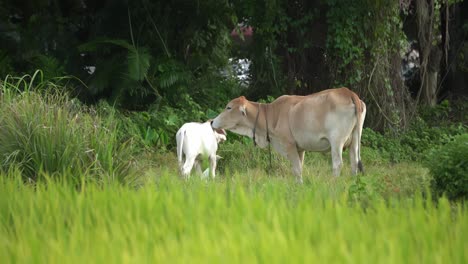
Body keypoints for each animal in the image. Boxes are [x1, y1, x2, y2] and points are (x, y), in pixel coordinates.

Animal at [211, 87, 366, 183]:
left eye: (229, 107)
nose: (212, 121)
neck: (271, 114)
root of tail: (347, 92)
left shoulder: (289, 145)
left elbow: (297, 170)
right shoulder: (300, 149)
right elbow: (300, 168)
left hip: (336, 141)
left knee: (337, 164)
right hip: (354, 141)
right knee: (354, 163)